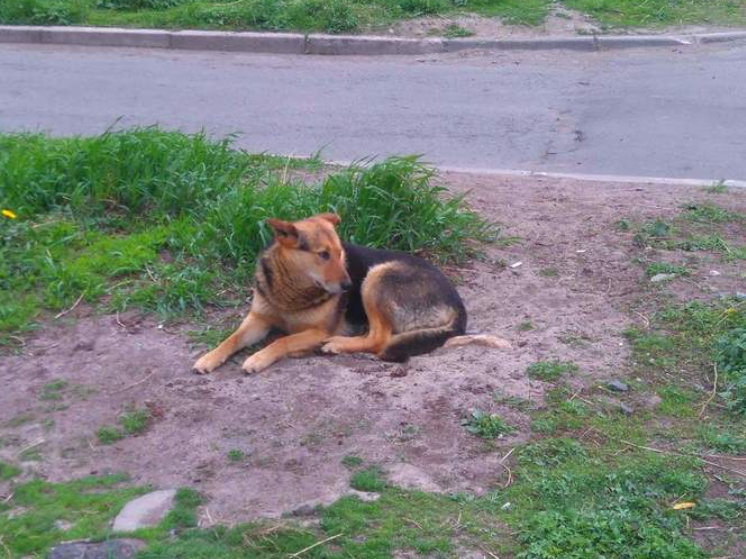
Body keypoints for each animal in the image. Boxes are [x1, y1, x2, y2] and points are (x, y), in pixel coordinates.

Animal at [192, 214, 508, 376]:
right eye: (323, 255)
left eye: (340, 252)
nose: (347, 285)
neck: (291, 290)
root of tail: (458, 304)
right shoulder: (257, 320)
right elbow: (232, 339)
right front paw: (209, 357)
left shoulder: (317, 330)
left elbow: (283, 340)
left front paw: (258, 358)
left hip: (377, 278)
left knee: (379, 339)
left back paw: (337, 345)